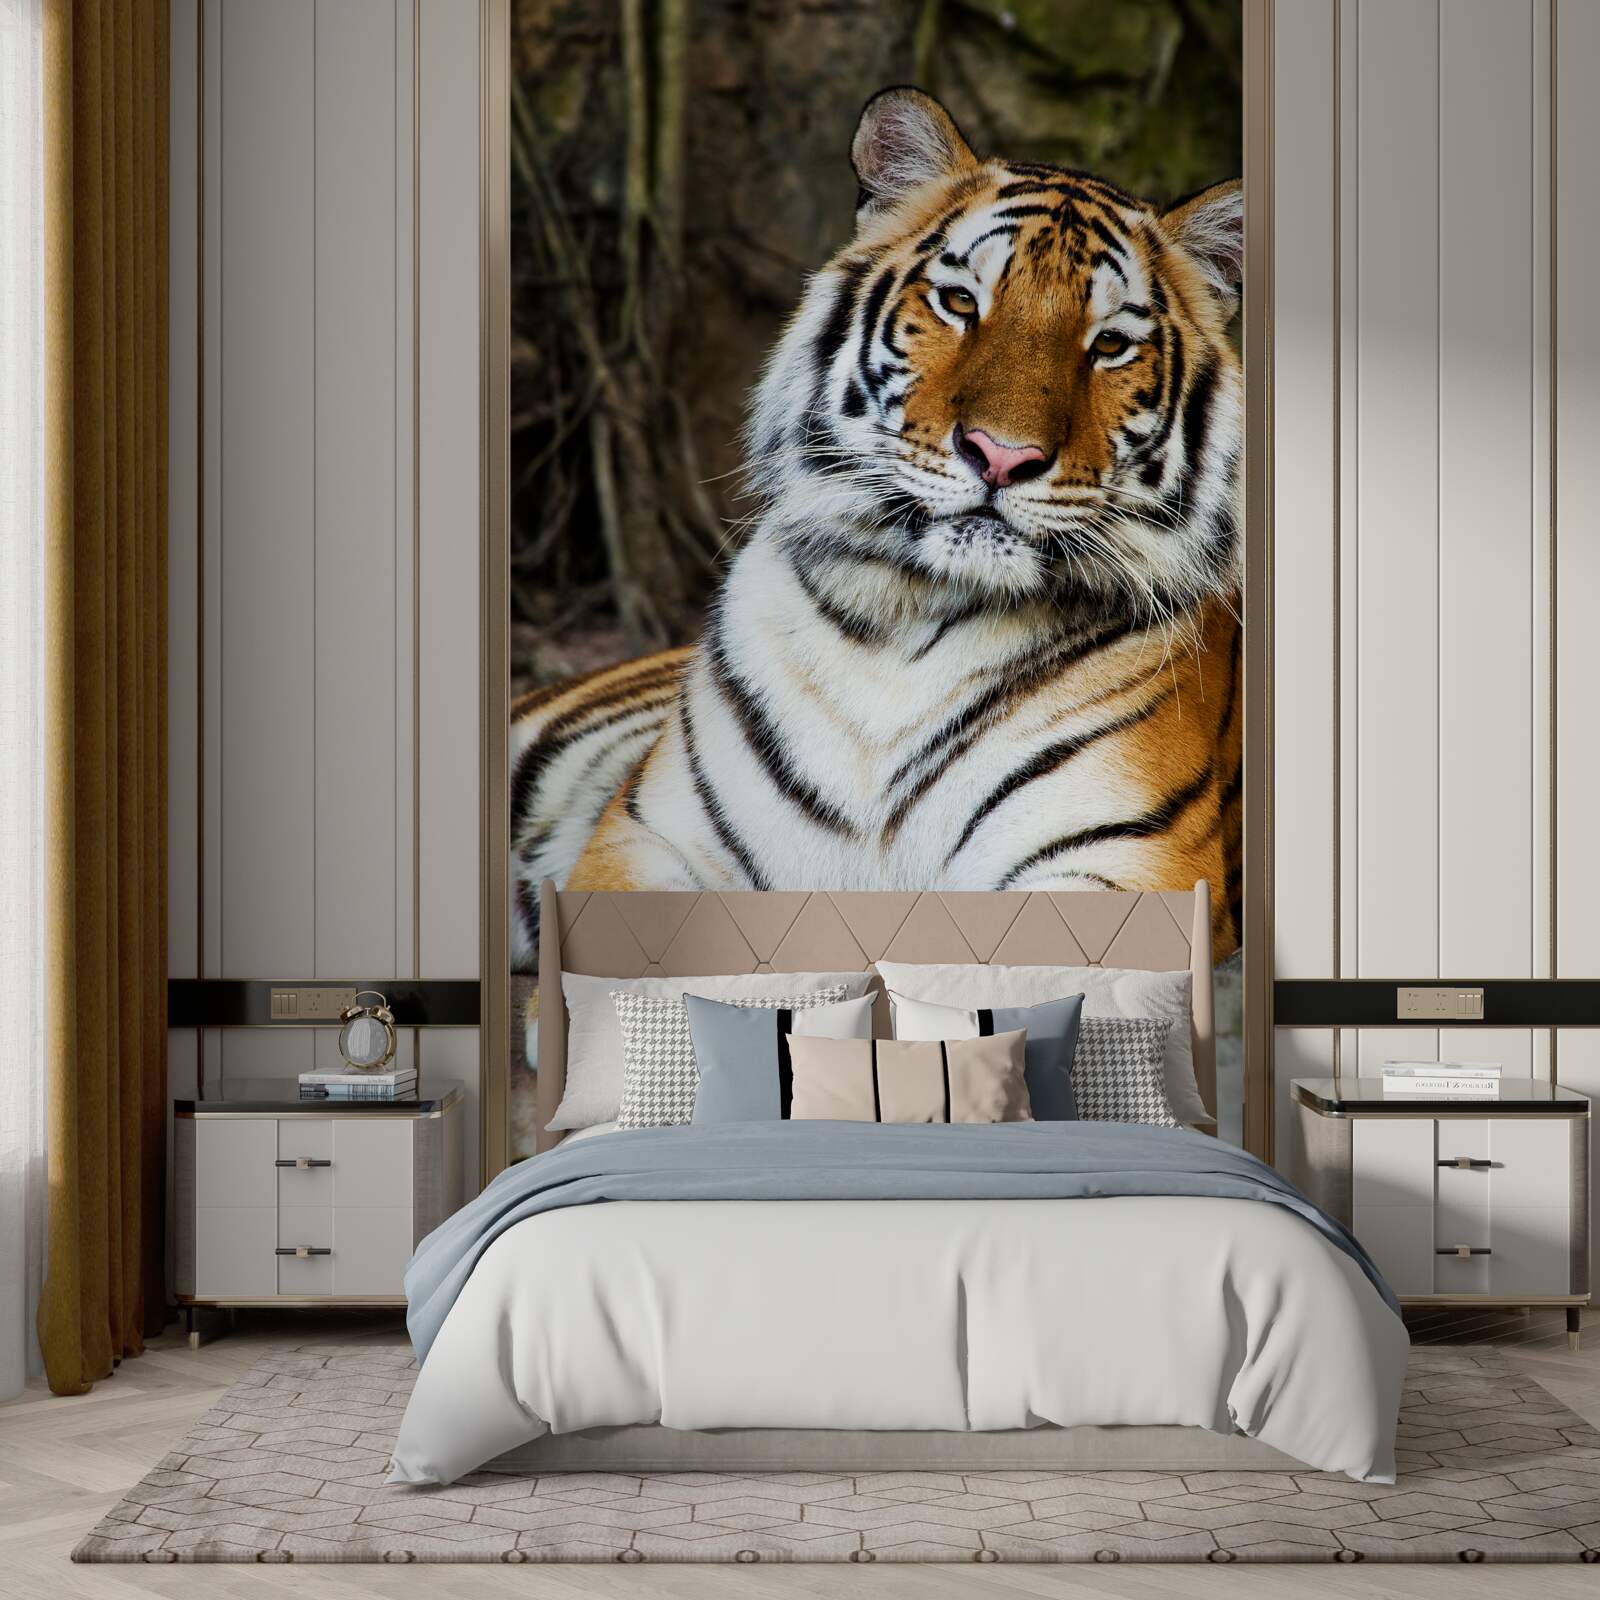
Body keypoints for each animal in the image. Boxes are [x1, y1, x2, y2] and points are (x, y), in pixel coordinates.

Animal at [510, 86, 1243, 972]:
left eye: (1109, 345)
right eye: (960, 303)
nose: (1003, 455)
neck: (904, 625)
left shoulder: (1126, 860)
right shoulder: (650, 837)